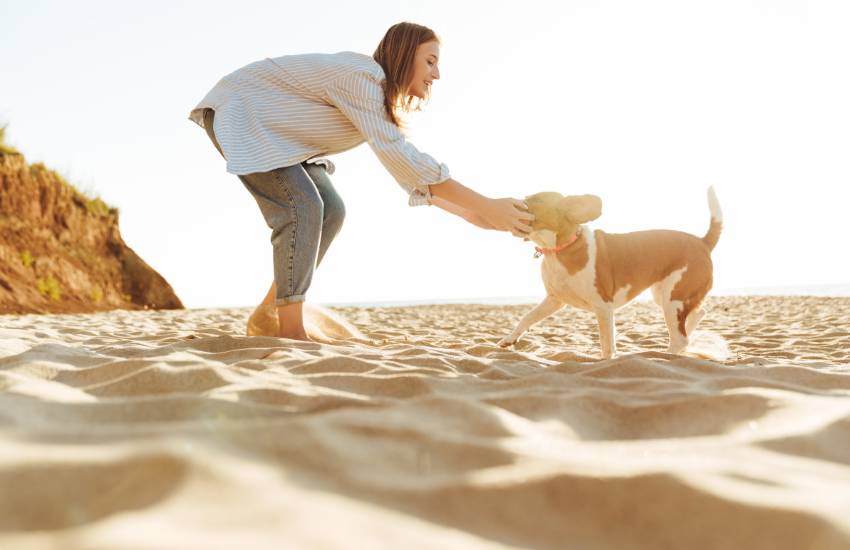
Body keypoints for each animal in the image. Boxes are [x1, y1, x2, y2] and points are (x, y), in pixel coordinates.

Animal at [496, 188, 724, 360]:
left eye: (532, 200)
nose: (507, 204)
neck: (560, 249)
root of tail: (702, 242)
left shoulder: (603, 307)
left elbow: (606, 344)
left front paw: (605, 361)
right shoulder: (555, 299)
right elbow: (527, 317)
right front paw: (509, 339)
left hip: (672, 299)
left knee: (680, 338)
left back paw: (665, 355)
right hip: (665, 296)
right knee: (697, 316)